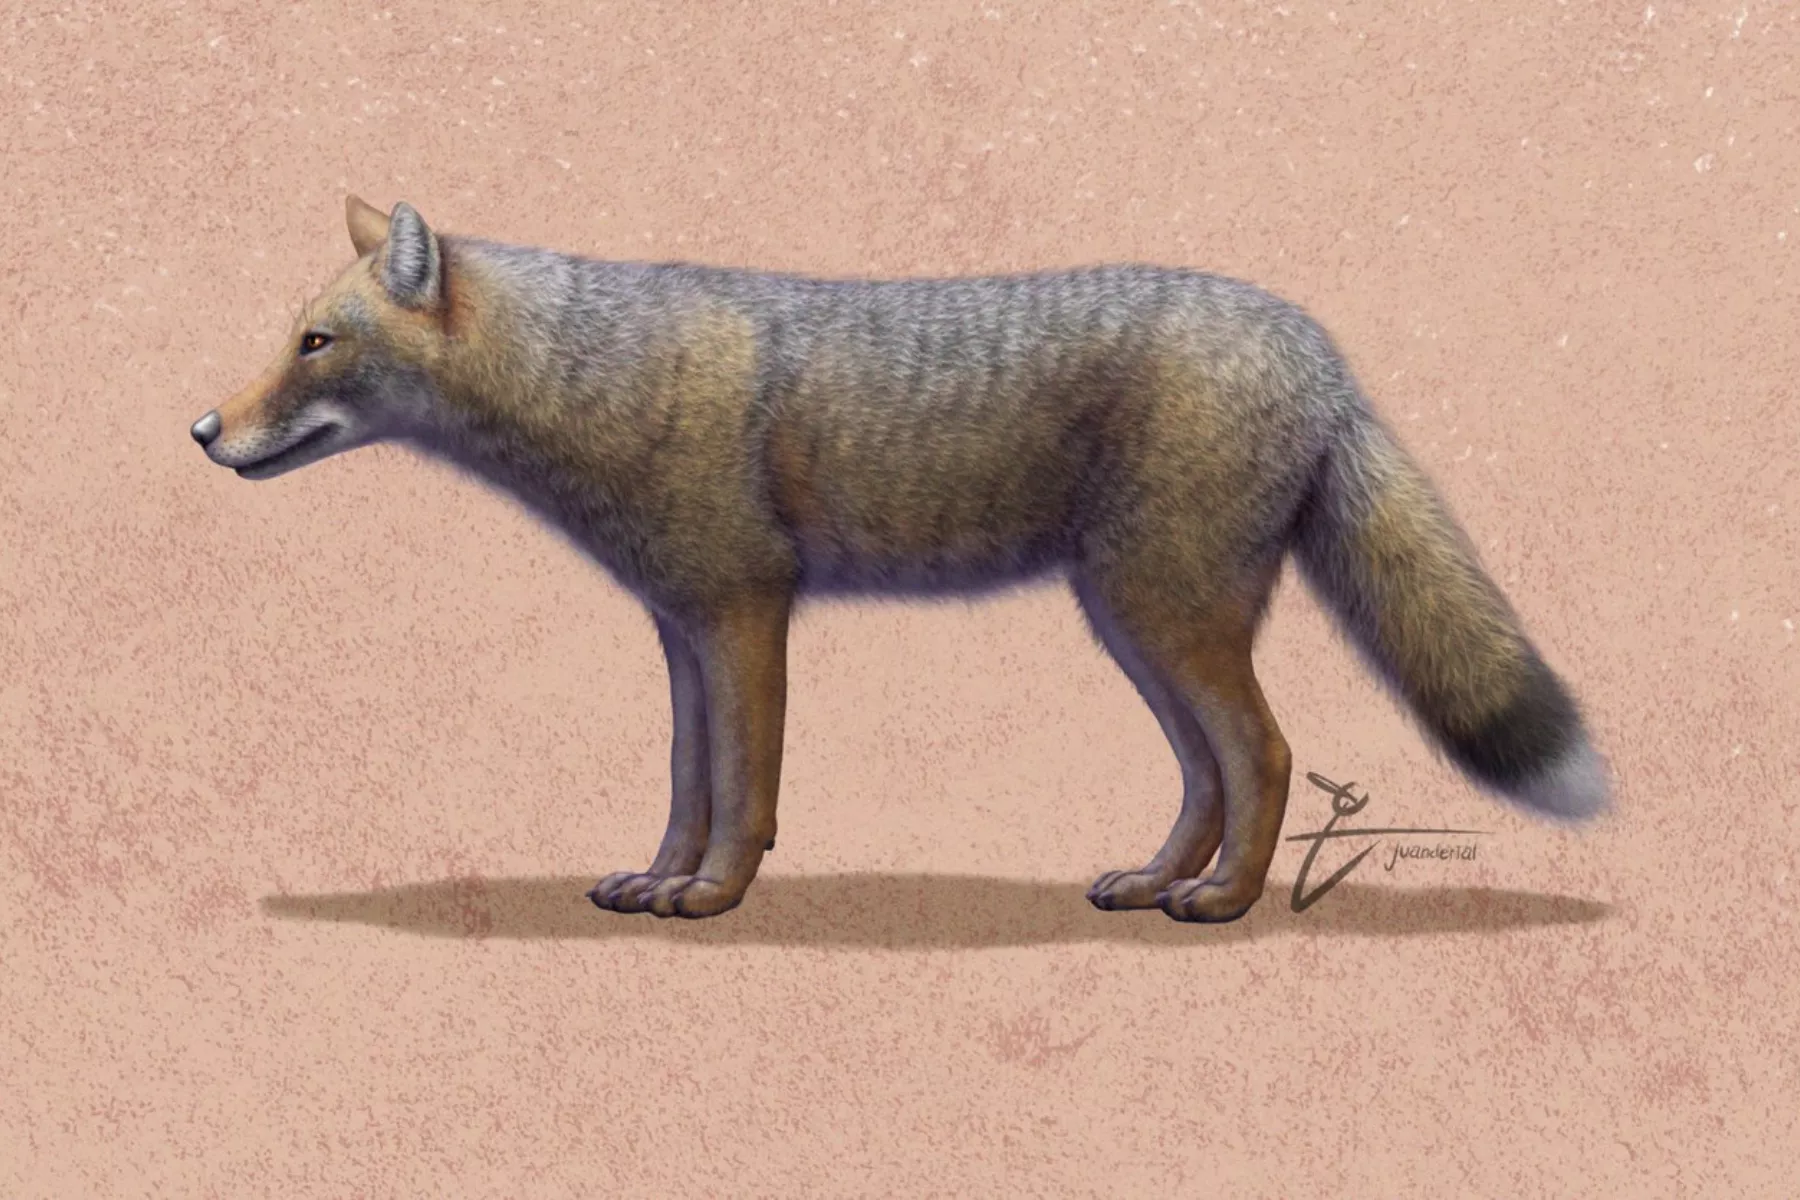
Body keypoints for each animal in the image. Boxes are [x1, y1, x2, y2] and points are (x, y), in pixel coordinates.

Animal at [190, 195, 1610, 923]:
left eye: (314, 342)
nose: (203, 431)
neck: (601, 378)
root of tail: (1316, 343)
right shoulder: (682, 626)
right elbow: (686, 780)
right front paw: (659, 878)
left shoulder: (746, 613)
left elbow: (744, 789)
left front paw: (712, 897)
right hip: (1132, 622)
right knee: (1210, 771)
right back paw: (1159, 880)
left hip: (1164, 615)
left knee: (1263, 755)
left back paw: (1222, 901)